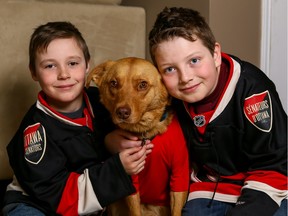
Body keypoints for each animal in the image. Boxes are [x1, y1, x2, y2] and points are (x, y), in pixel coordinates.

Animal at [86, 56, 189, 215]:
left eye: (142, 85)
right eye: (113, 83)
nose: (122, 112)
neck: (146, 132)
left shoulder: (179, 174)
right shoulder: (131, 178)